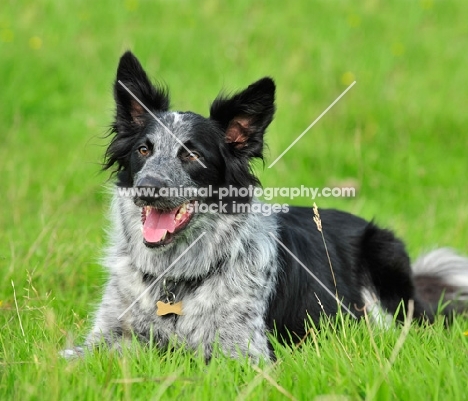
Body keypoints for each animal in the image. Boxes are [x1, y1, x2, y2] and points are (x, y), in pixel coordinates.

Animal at [63, 50, 468, 360]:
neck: (175, 278)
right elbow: (76, 355)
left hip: (384, 257)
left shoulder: (242, 352)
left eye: (192, 155)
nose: (147, 188)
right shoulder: (105, 335)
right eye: (143, 150)